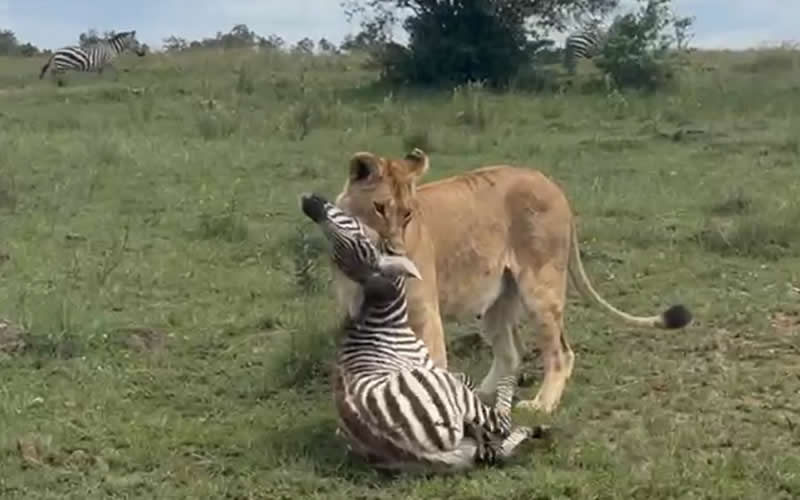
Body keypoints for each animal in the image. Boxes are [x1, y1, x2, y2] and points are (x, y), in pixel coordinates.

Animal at [299, 193, 540, 473]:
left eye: (356, 232)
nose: (309, 203)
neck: (384, 319)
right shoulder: (429, 365)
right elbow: (466, 381)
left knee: (494, 443)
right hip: (445, 391)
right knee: (499, 422)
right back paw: (509, 389)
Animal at [332, 148, 692, 414]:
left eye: (407, 213)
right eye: (380, 208)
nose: (396, 250)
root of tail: (552, 184)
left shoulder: (424, 312)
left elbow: (428, 366)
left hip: (539, 288)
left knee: (561, 353)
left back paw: (541, 405)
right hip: (496, 302)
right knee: (511, 352)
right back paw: (480, 394)